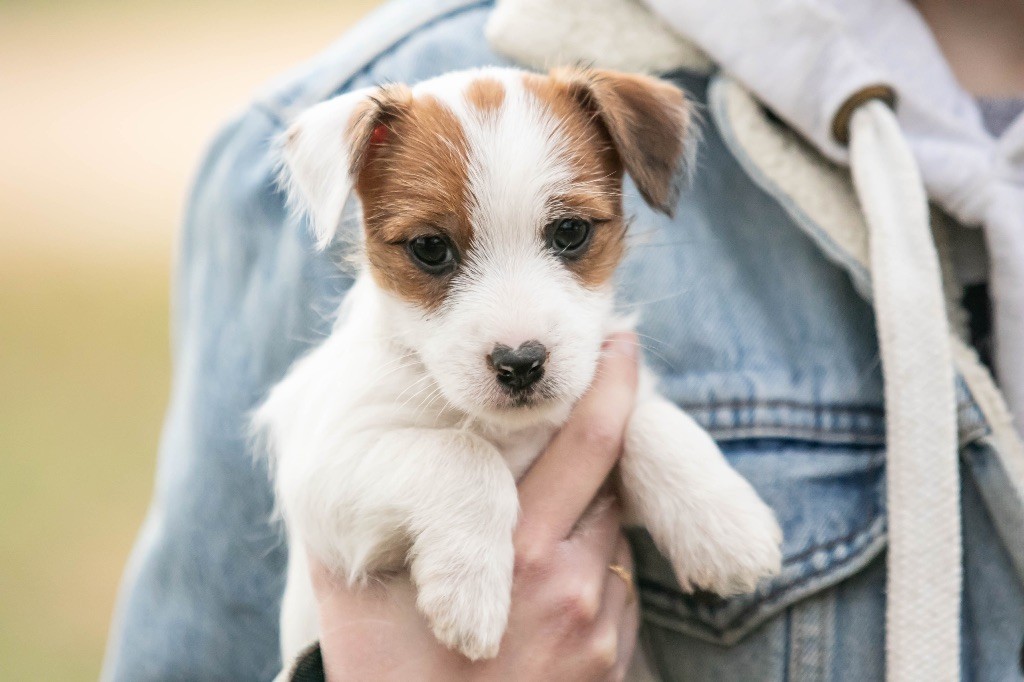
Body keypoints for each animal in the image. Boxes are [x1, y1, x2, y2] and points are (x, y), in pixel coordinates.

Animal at [258, 65, 782, 663]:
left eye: (571, 232)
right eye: (430, 247)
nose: (520, 363)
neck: (514, 432)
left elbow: (650, 419)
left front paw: (724, 527)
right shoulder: (323, 470)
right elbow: (462, 453)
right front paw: (470, 591)